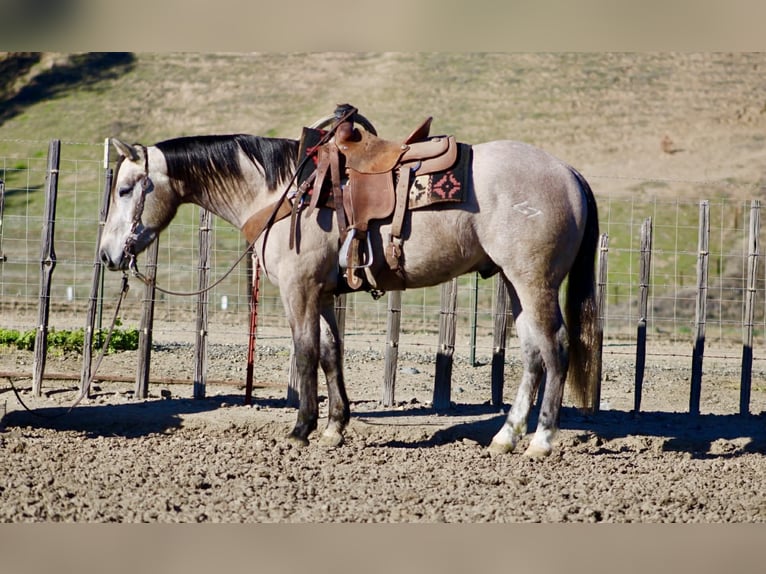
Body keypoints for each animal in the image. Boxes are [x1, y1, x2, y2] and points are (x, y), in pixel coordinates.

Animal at [98, 116, 600, 458]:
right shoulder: (321, 293)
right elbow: (329, 353)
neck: (284, 191)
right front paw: (334, 428)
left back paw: (542, 440)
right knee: (533, 354)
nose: (107, 255)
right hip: (516, 284)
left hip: (534, 282)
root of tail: (569, 172)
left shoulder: (298, 290)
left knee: (556, 348)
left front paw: (300, 430)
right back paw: (505, 436)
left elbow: (304, 353)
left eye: (124, 189)